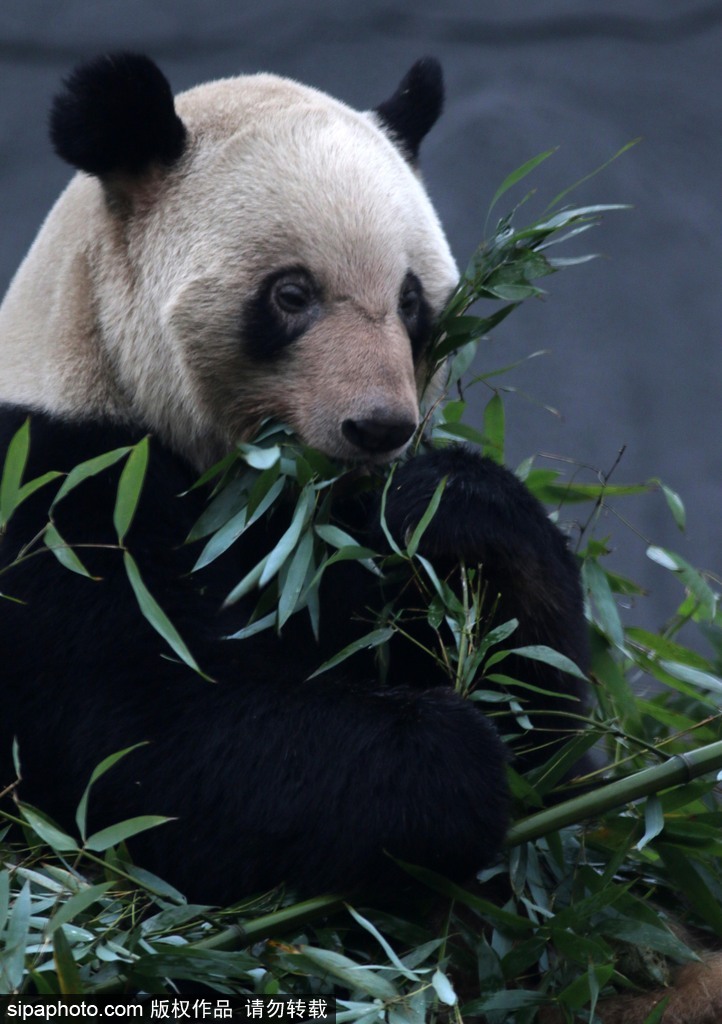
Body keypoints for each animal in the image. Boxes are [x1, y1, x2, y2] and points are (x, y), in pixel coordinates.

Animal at [0, 54, 589, 905]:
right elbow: (152, 755)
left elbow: (548, 734)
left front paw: (451, 510)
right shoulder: (58, 502)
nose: (378, 426)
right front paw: (446, 758)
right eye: (291, 294)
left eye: (411, 301)